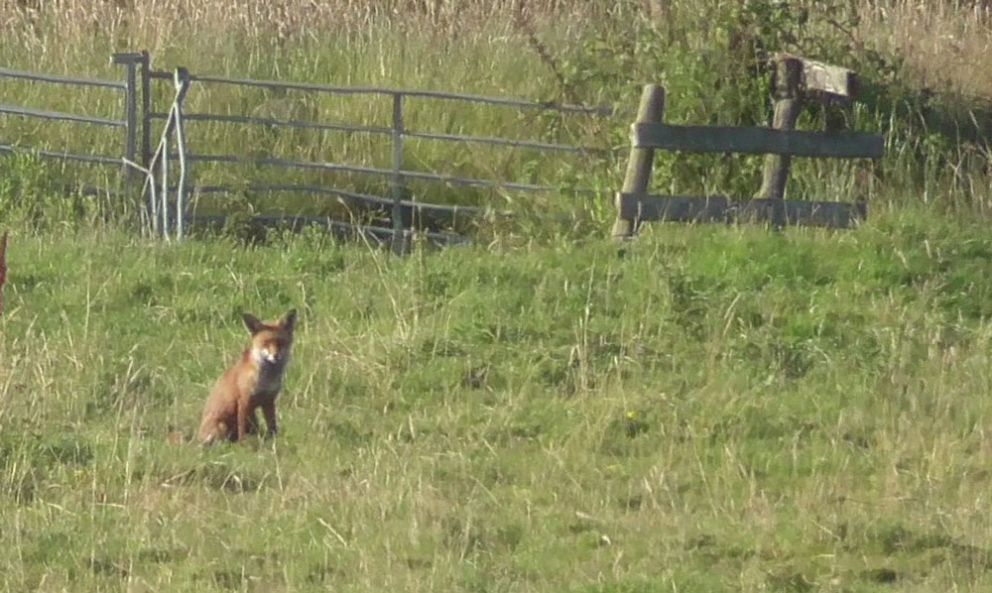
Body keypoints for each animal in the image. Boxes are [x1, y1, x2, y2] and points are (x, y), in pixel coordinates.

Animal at [198, 309, 297, 445]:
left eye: (280, 343)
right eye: (265, 344)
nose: (275, 356)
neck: (266, 379)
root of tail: (196, 437)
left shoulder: (269, 400)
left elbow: (272, 424)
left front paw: (274, 439)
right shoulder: (244, 400)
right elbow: (242, 427)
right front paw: (243, 444)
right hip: (222, 426)